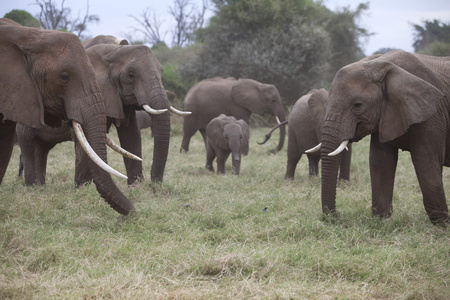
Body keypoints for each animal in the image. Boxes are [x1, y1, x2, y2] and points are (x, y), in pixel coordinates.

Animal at [16, 34, 189, 185]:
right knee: (28, 143)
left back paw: (41, 187)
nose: (155, 183)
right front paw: (82, 188)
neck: (113, 50)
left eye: (161, 72)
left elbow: (131, 135)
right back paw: (33, 186)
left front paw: (136, 186)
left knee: (42, 148)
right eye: (131, 75)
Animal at [314, 49, 448, 223]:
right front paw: (381, 220)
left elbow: (425, 163)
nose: (335, 217)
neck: (380, 64)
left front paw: (441, 225)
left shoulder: (431, 113)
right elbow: (380, 161)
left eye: (357, 106)